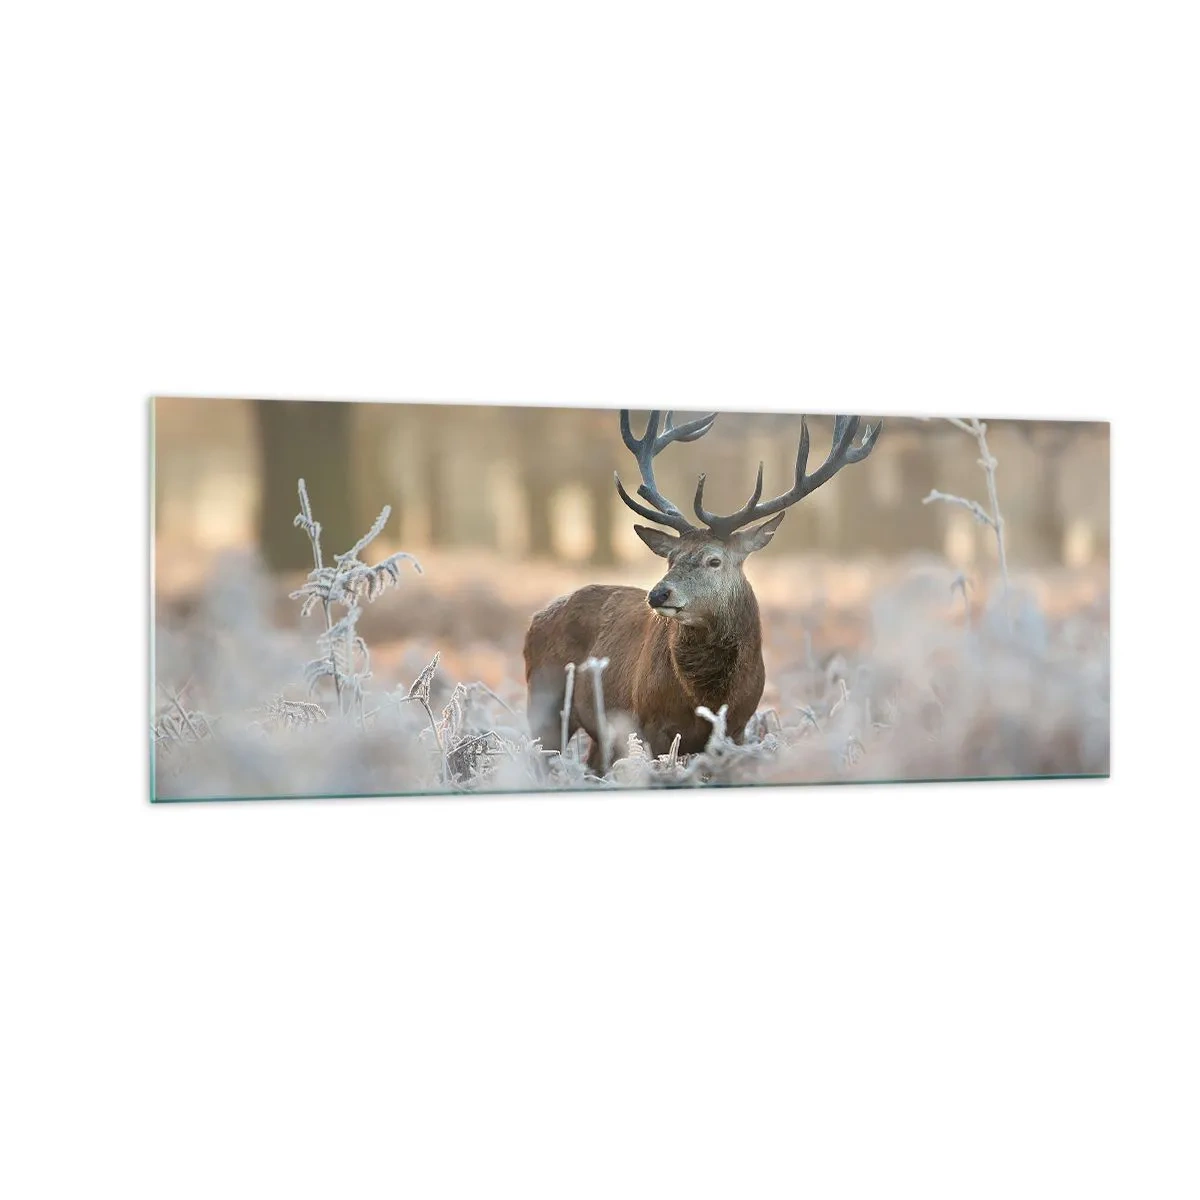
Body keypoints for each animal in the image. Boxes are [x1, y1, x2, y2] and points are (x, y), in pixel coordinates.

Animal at [523, 409, 882, 773]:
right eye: (670, 558)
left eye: (714, 560)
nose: (658, 594)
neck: (708, 697)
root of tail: (536, 618)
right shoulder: (648, 724)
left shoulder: (737, 727)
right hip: (543, 700)